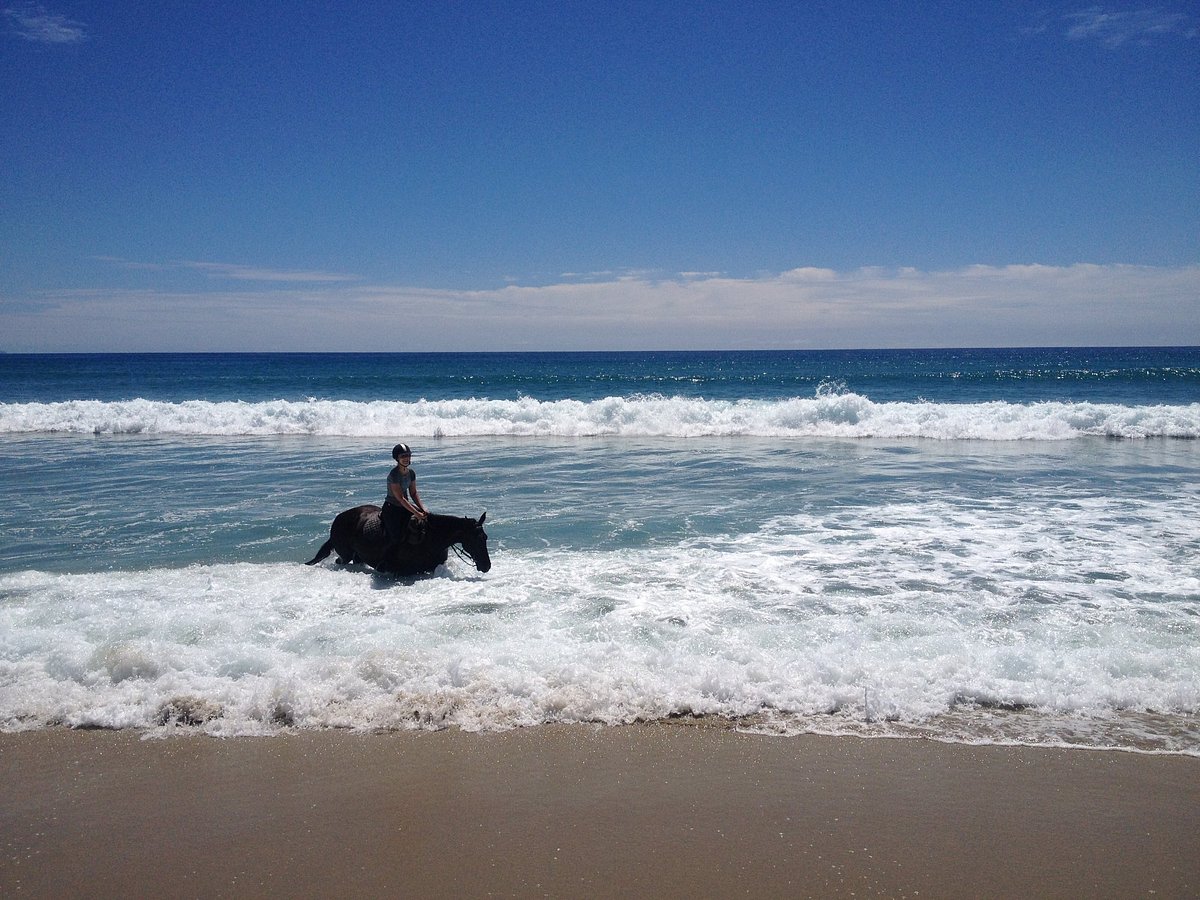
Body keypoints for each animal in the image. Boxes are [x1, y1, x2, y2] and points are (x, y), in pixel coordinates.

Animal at [307, 508, 489, 578]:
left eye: (485, 538)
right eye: (477, 539)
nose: (487, 566)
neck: (430, 538)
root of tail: (338, 519)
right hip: (345, 554)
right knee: (340, 561)